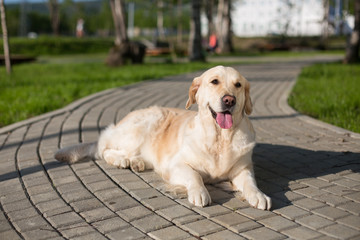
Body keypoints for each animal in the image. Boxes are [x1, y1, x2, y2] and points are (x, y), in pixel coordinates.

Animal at [55, 65, 270, 210]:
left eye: (238, 85)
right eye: (214, 81)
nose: (229, 100)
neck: (220, 138)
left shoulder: (243, 169)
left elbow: (250, 182)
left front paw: (259, 195)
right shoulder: (176, 165)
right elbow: (195, 176)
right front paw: (200, 192)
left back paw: (137, 162)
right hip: (145, 124)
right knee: (104, 148)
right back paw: (122, 160)